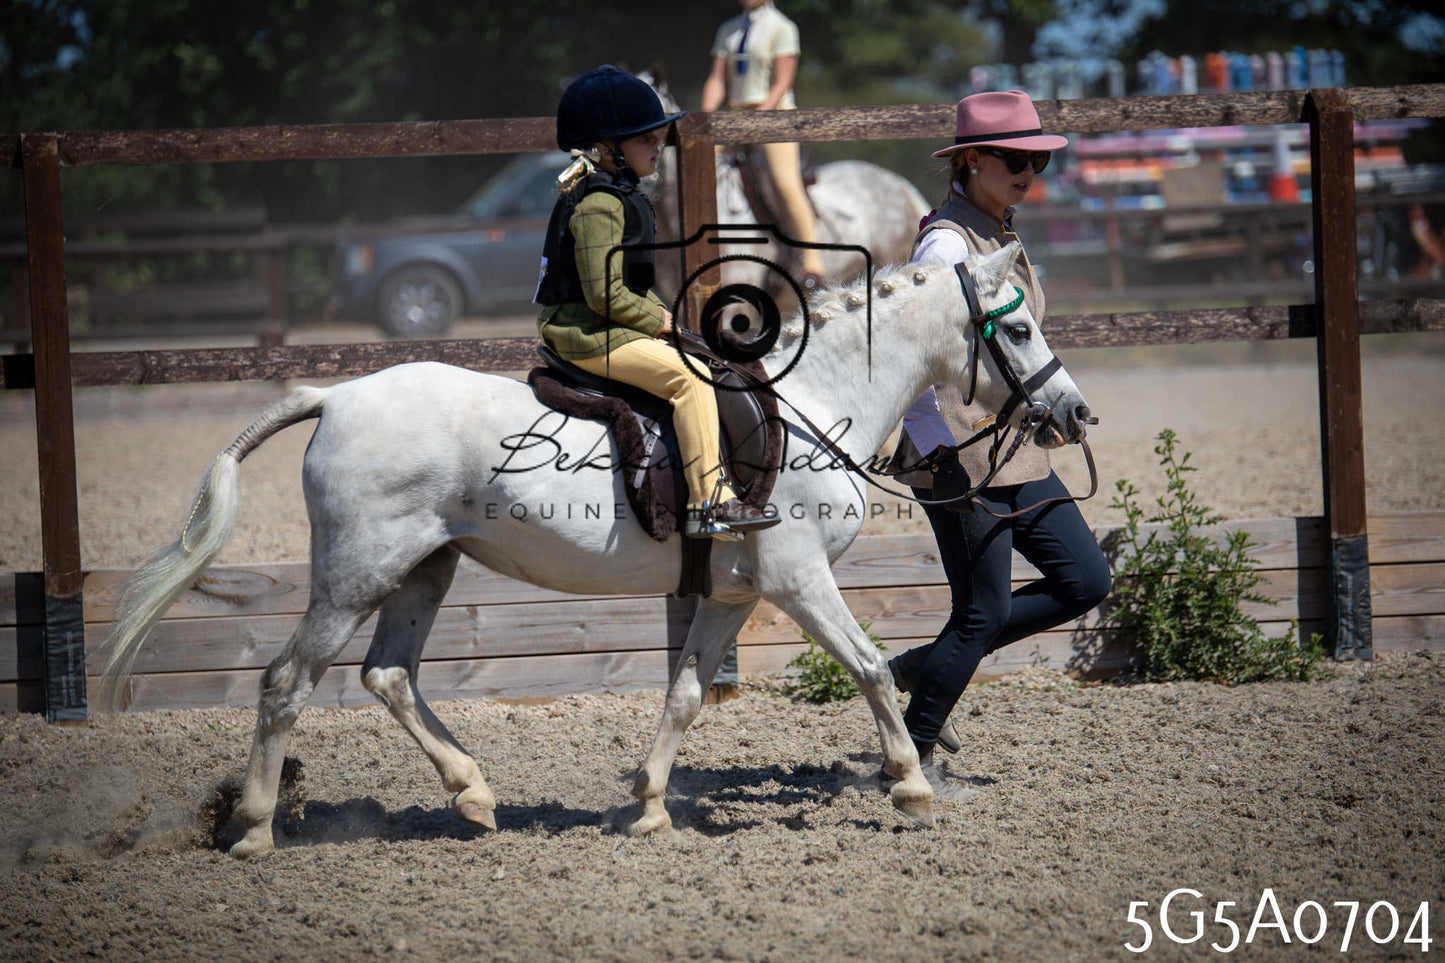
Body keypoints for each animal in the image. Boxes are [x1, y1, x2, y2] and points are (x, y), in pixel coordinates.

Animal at [99, 241, 1091, 858]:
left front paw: (648, 806)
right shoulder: (799, 579)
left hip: (423, 568)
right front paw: (911, 786)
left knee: (388, 675)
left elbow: (686, 693)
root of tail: (336, 396)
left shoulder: (732, 594)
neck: (818, 398)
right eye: (1017, 328)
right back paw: (257, 828)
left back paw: (473, 792)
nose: (1073, 411)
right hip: (355, 574)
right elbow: (872, 666)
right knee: (284, 682)